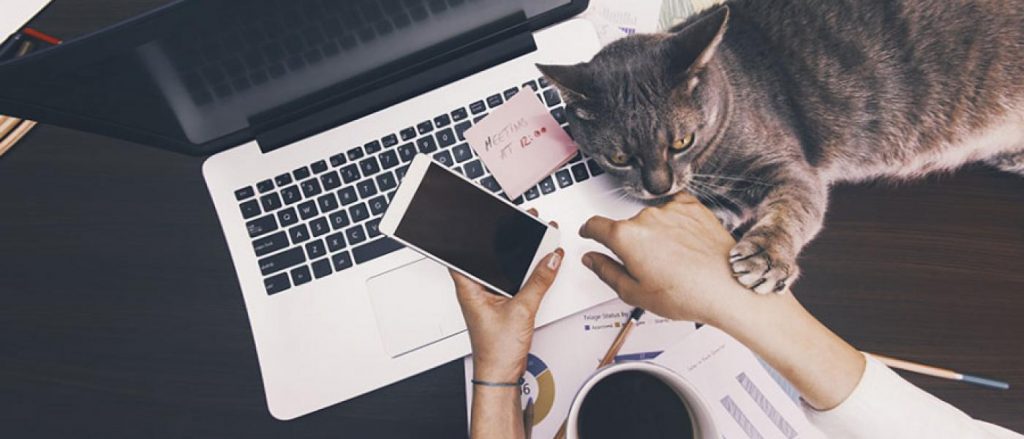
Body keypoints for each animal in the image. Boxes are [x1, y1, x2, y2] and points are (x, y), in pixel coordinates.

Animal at [536, 1, 1024, 294]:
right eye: (619, 157)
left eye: (681, 141)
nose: (658, 186)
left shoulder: (790, 167)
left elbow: (795, 208)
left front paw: (769, 254)